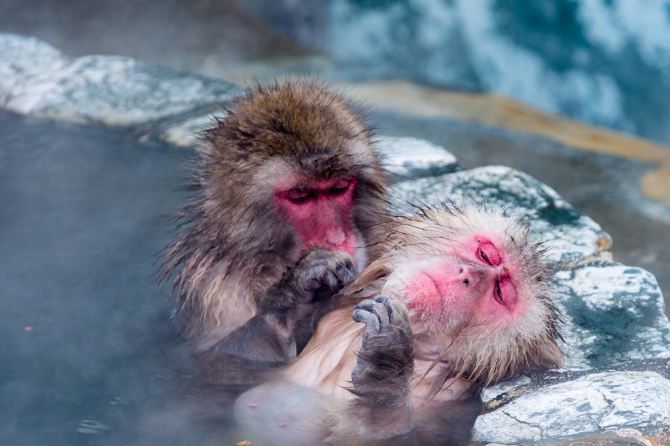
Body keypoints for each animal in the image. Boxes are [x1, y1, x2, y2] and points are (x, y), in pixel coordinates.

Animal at [163, 82, 392, 382]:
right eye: (300, 196)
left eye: (339, 188)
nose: (336, 239)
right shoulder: (214, 290)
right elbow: (217, 357)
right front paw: (296, 287)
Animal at [234, 205, 564, 442]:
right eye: (485, 253)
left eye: (500, 293)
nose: (465, 275)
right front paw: (309, 276)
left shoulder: (451, 399)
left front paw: (386, 361)